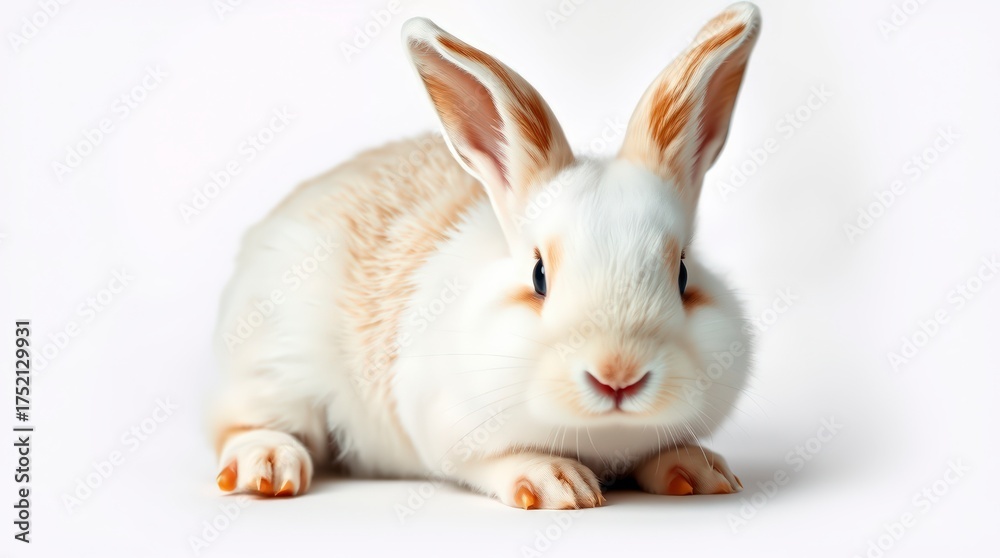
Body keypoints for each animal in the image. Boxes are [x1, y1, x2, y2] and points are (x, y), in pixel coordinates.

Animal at [211, 2, 761, 509]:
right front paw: (556, 483)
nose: (618, 374)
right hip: (274, 364)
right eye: (539, 275)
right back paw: (267, 467)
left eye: (683, 274)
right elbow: (492, 461)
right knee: (239, 422)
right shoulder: (446, 428)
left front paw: (700, 471)